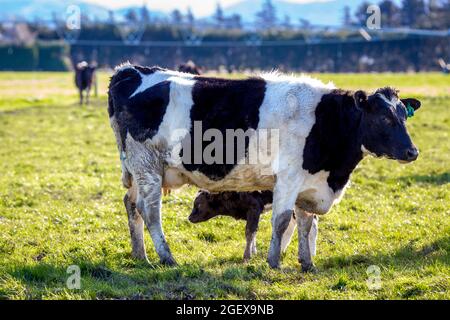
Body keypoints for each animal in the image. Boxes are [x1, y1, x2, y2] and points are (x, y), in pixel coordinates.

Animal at [188, 190, 318, 260]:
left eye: (198, 204)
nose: (189, 218)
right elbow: (254, 231)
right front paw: (254, 251)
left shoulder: (254, 208)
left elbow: (249, 232)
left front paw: (247, 256)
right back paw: (281, 250)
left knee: (312, 225)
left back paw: (311, 253)